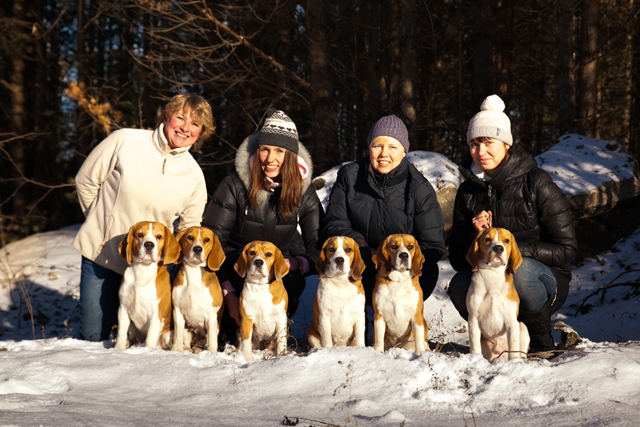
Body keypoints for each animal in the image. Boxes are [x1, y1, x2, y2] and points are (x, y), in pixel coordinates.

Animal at [114, 221, 180, 352]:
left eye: (159, 236)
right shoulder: (123, 308)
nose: (149, 244)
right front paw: (118, 349)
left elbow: (150, 339)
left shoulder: (156, 314)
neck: (143, 270)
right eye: (140, 234)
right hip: (133, 328)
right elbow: (121, 334)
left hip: (166, 335)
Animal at [464, 227, 528, 362]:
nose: (498, 248)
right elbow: (474, 344)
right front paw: (475, 358)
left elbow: (513, 346)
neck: (493, 273)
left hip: (522, 326)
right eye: (487, 239)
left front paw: (514, 361)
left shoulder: (511, 321)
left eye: (506, 240)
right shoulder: (473, 318)